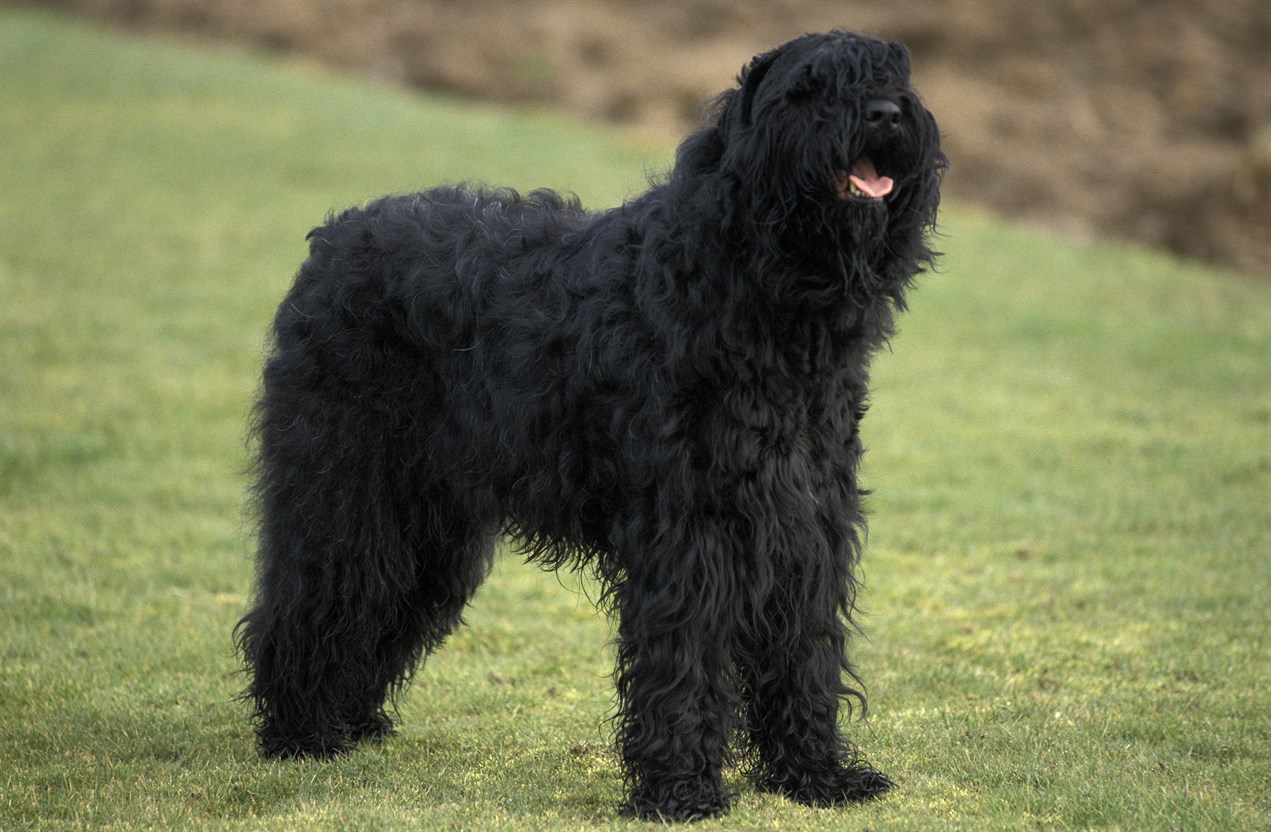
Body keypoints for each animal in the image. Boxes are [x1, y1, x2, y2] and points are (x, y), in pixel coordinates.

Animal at [238, 30, 945, 818]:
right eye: (810, 88)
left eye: (894, 76)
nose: (885, 114)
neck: (744, 279)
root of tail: (331, 244)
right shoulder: (688, 528)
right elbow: (685, 657)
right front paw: (681, 789)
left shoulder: (805, 521)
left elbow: (804, 651)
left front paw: (816, 773)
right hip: (348, 493)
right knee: (314, 595)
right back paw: (301, 728)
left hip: (430, 526)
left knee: (381, 607)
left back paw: (350, 718)